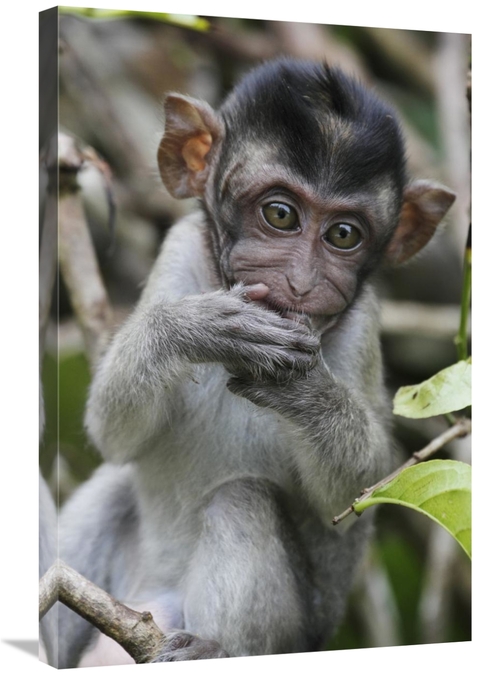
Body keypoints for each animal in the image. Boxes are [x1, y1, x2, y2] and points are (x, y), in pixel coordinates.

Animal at [55, 58, 455, 666]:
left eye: (344, 234)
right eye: (280, 215)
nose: (302, 283)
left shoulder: (362, 322)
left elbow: (358, 491)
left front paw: (302, 389)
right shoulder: (179, 250)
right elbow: (113, 434)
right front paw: (198, 328)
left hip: (286, 638)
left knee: (241, 498)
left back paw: (214, 651)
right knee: (113, 488)